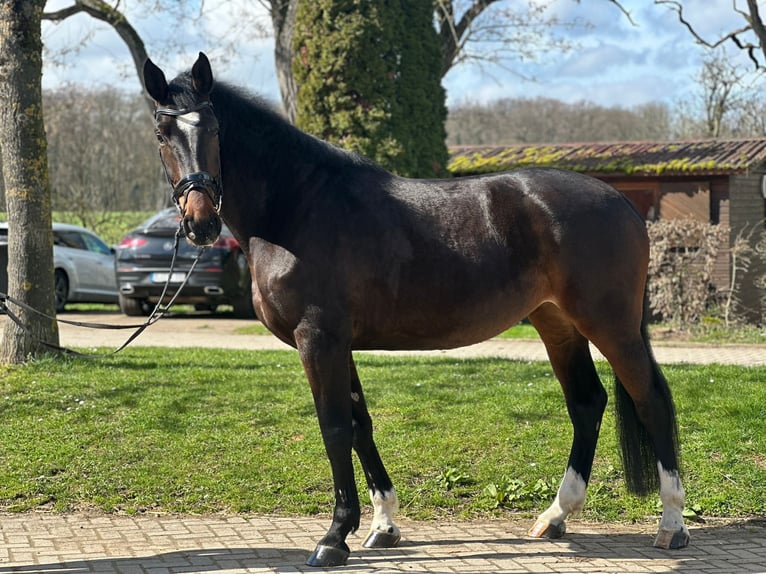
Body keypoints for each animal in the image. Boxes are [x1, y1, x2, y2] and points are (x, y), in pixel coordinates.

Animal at [142, 52, 690, 567]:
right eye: (162, 132)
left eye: (214, 129)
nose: (199, 223)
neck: (298, 207)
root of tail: (620, 201)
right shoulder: (339, 344)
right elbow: (359, 426)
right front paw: (382, 525)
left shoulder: (317, 339)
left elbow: (334, 428)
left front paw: (333, 538)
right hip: (556, 322)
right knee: (586, 403)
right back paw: (556, 516)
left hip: (610, 325)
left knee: (651, 402)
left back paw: (671, 524)